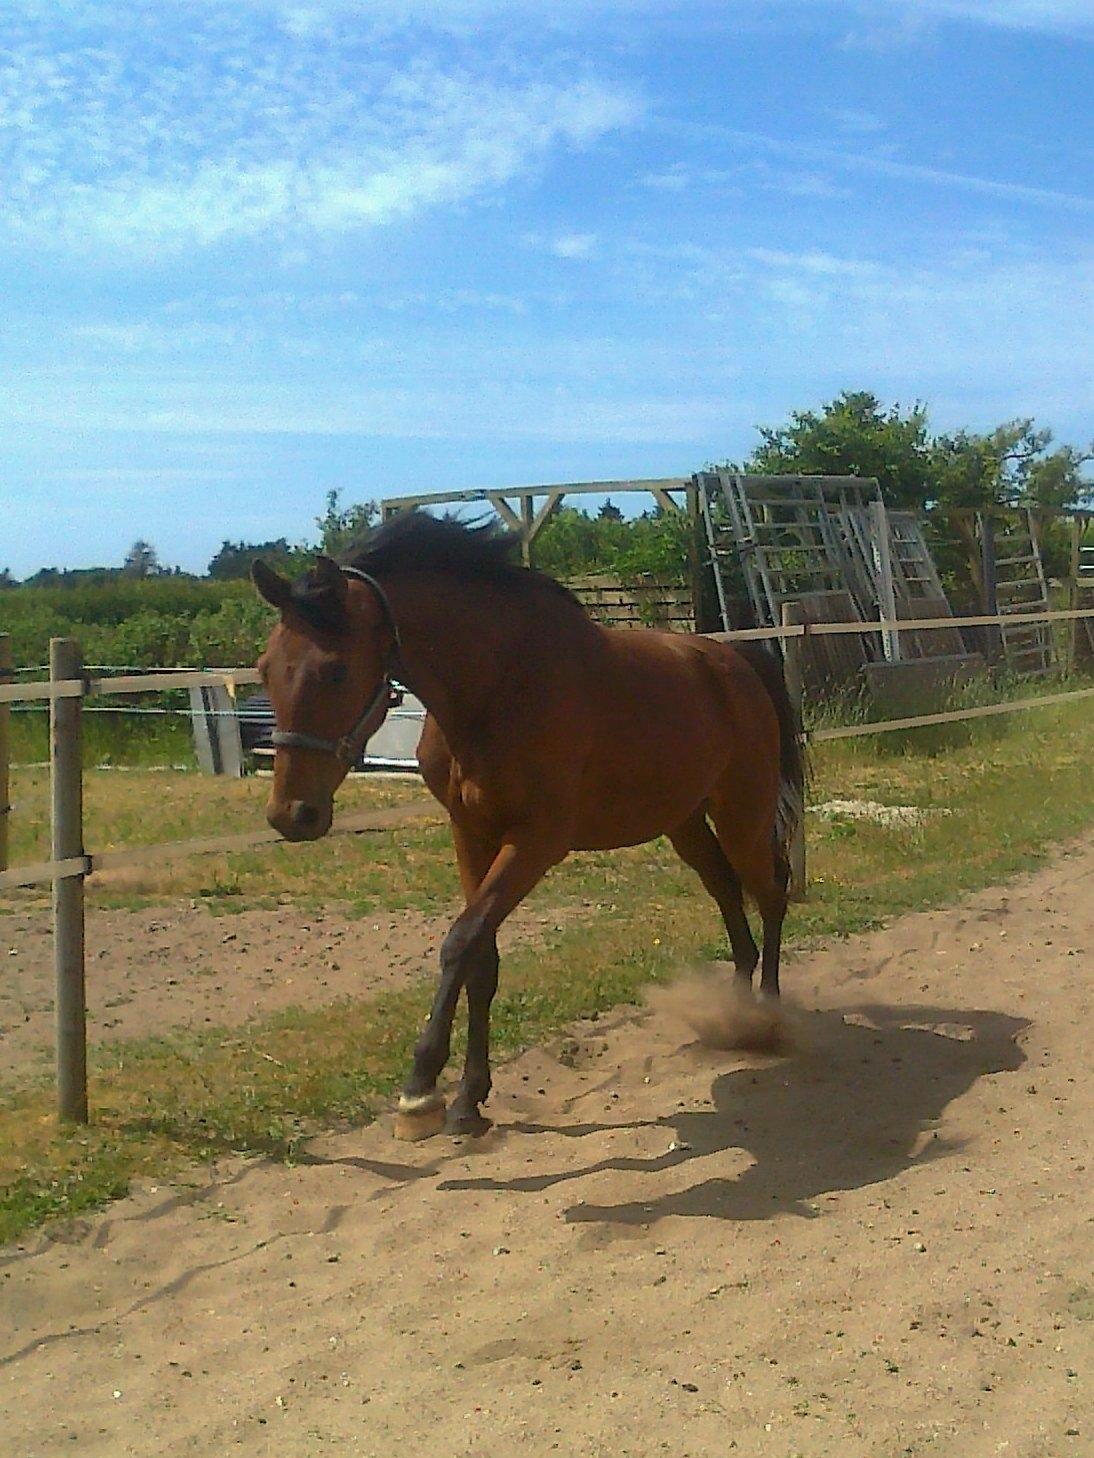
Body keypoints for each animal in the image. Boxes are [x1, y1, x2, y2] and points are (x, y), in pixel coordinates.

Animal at [256, 513, 805, 1137]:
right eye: (265, 669)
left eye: (335, 671)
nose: (291, 814)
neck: (498, 687)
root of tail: (736, 665)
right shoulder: (471, 834)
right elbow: (481, 959)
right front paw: (469, 1099)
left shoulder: (536, 842)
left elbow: (460, 941)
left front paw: (421, 1090)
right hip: (684, 822)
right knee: (727, 892)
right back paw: (734, 1016)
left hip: (743, 811)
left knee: (770, 891)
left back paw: (766, 1019)